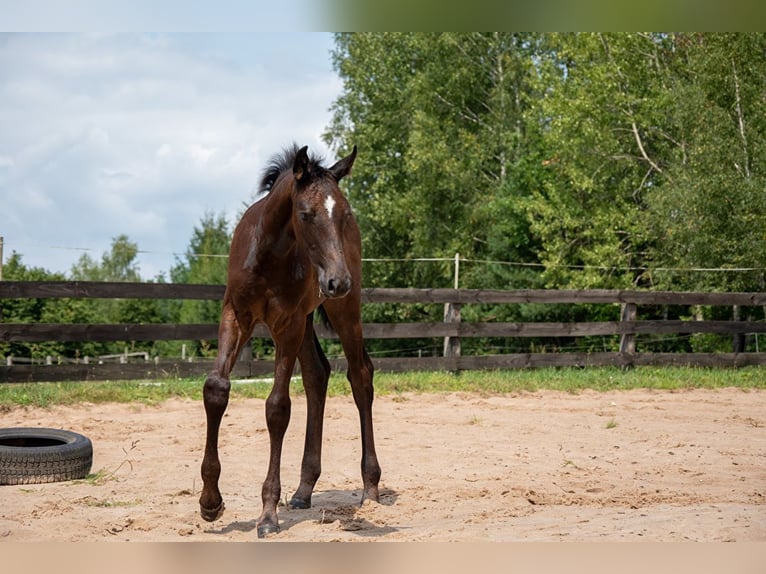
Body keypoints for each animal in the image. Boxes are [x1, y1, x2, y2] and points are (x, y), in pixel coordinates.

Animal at [196, 145, 380, 540]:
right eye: (306, 214)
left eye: (344, 214)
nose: (338, 281)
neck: (269, 255)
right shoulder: (236, 314)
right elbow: (216, 389)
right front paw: (210, 502)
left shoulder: (289, 324)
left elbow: (278, 407)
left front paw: (267, 514)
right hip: (311, 316)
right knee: (317, 374)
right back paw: (303, 490)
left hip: (343, 310)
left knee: (360, 376)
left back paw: (371, 487)